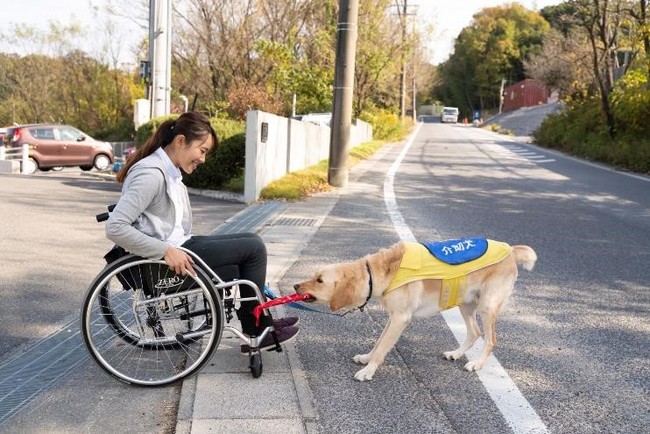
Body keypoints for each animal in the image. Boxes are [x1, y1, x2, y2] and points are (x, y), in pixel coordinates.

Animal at [294, 239, 536, 382]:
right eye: (314, 276)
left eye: (319, 280)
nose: (296, 286)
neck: (379, 272)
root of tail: (511, 251)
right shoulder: (392, 317)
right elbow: (379, 342)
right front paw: (366, 358)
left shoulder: (401, 319)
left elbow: (382, 349)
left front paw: (368, 371)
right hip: (465, 304)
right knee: (475, 333)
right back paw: (456, 354)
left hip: (487, 306)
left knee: (491, 339)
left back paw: (476, 363)